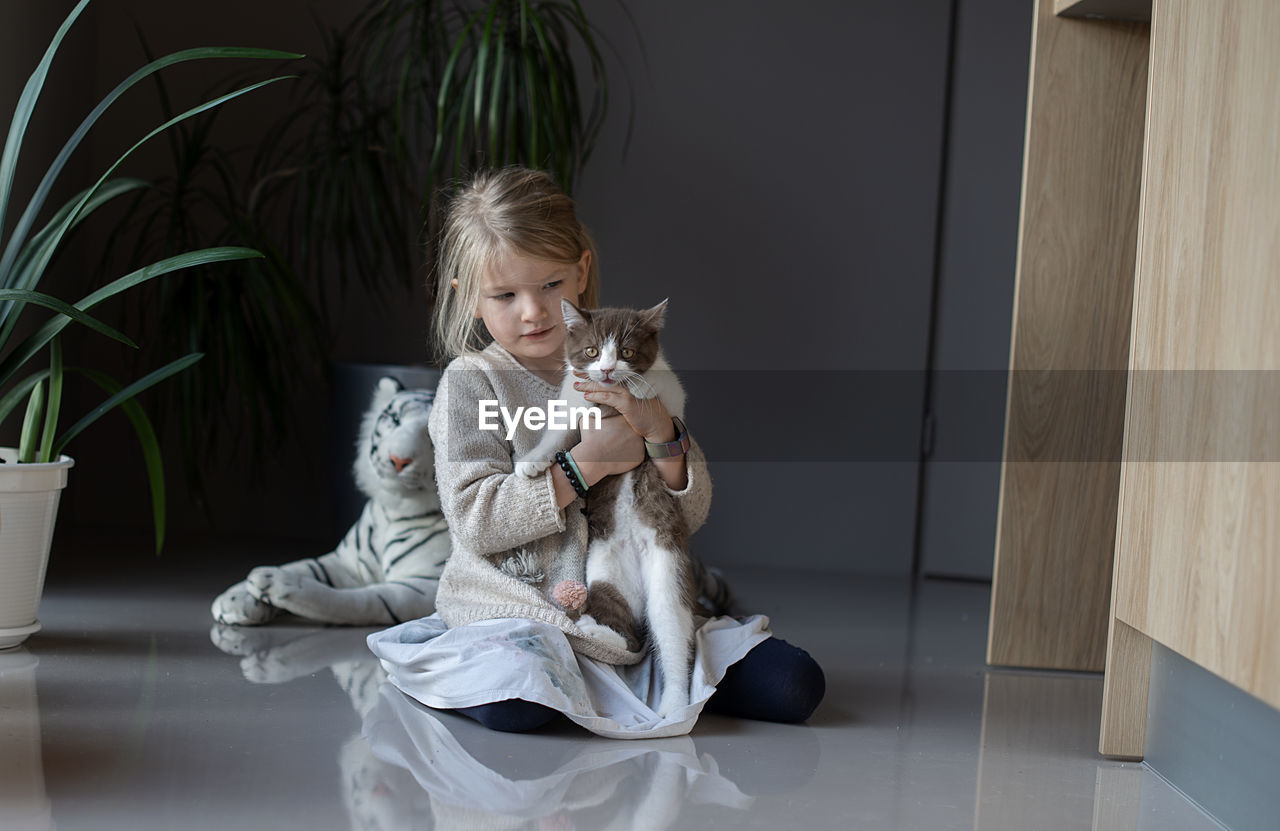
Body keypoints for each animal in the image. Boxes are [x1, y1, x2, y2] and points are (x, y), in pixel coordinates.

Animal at [517, 297, 701, 711]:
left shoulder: (672, 396)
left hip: (668, 567)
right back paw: (597, 630)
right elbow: (557, 435)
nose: (605, 368)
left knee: (671, 628)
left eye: (627, 353)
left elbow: (657, 399)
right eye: (591, 351)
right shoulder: (571, 401)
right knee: (629, 632)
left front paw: (638, 393)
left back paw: (674, 705)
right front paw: (532, 462)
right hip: (605, 568)